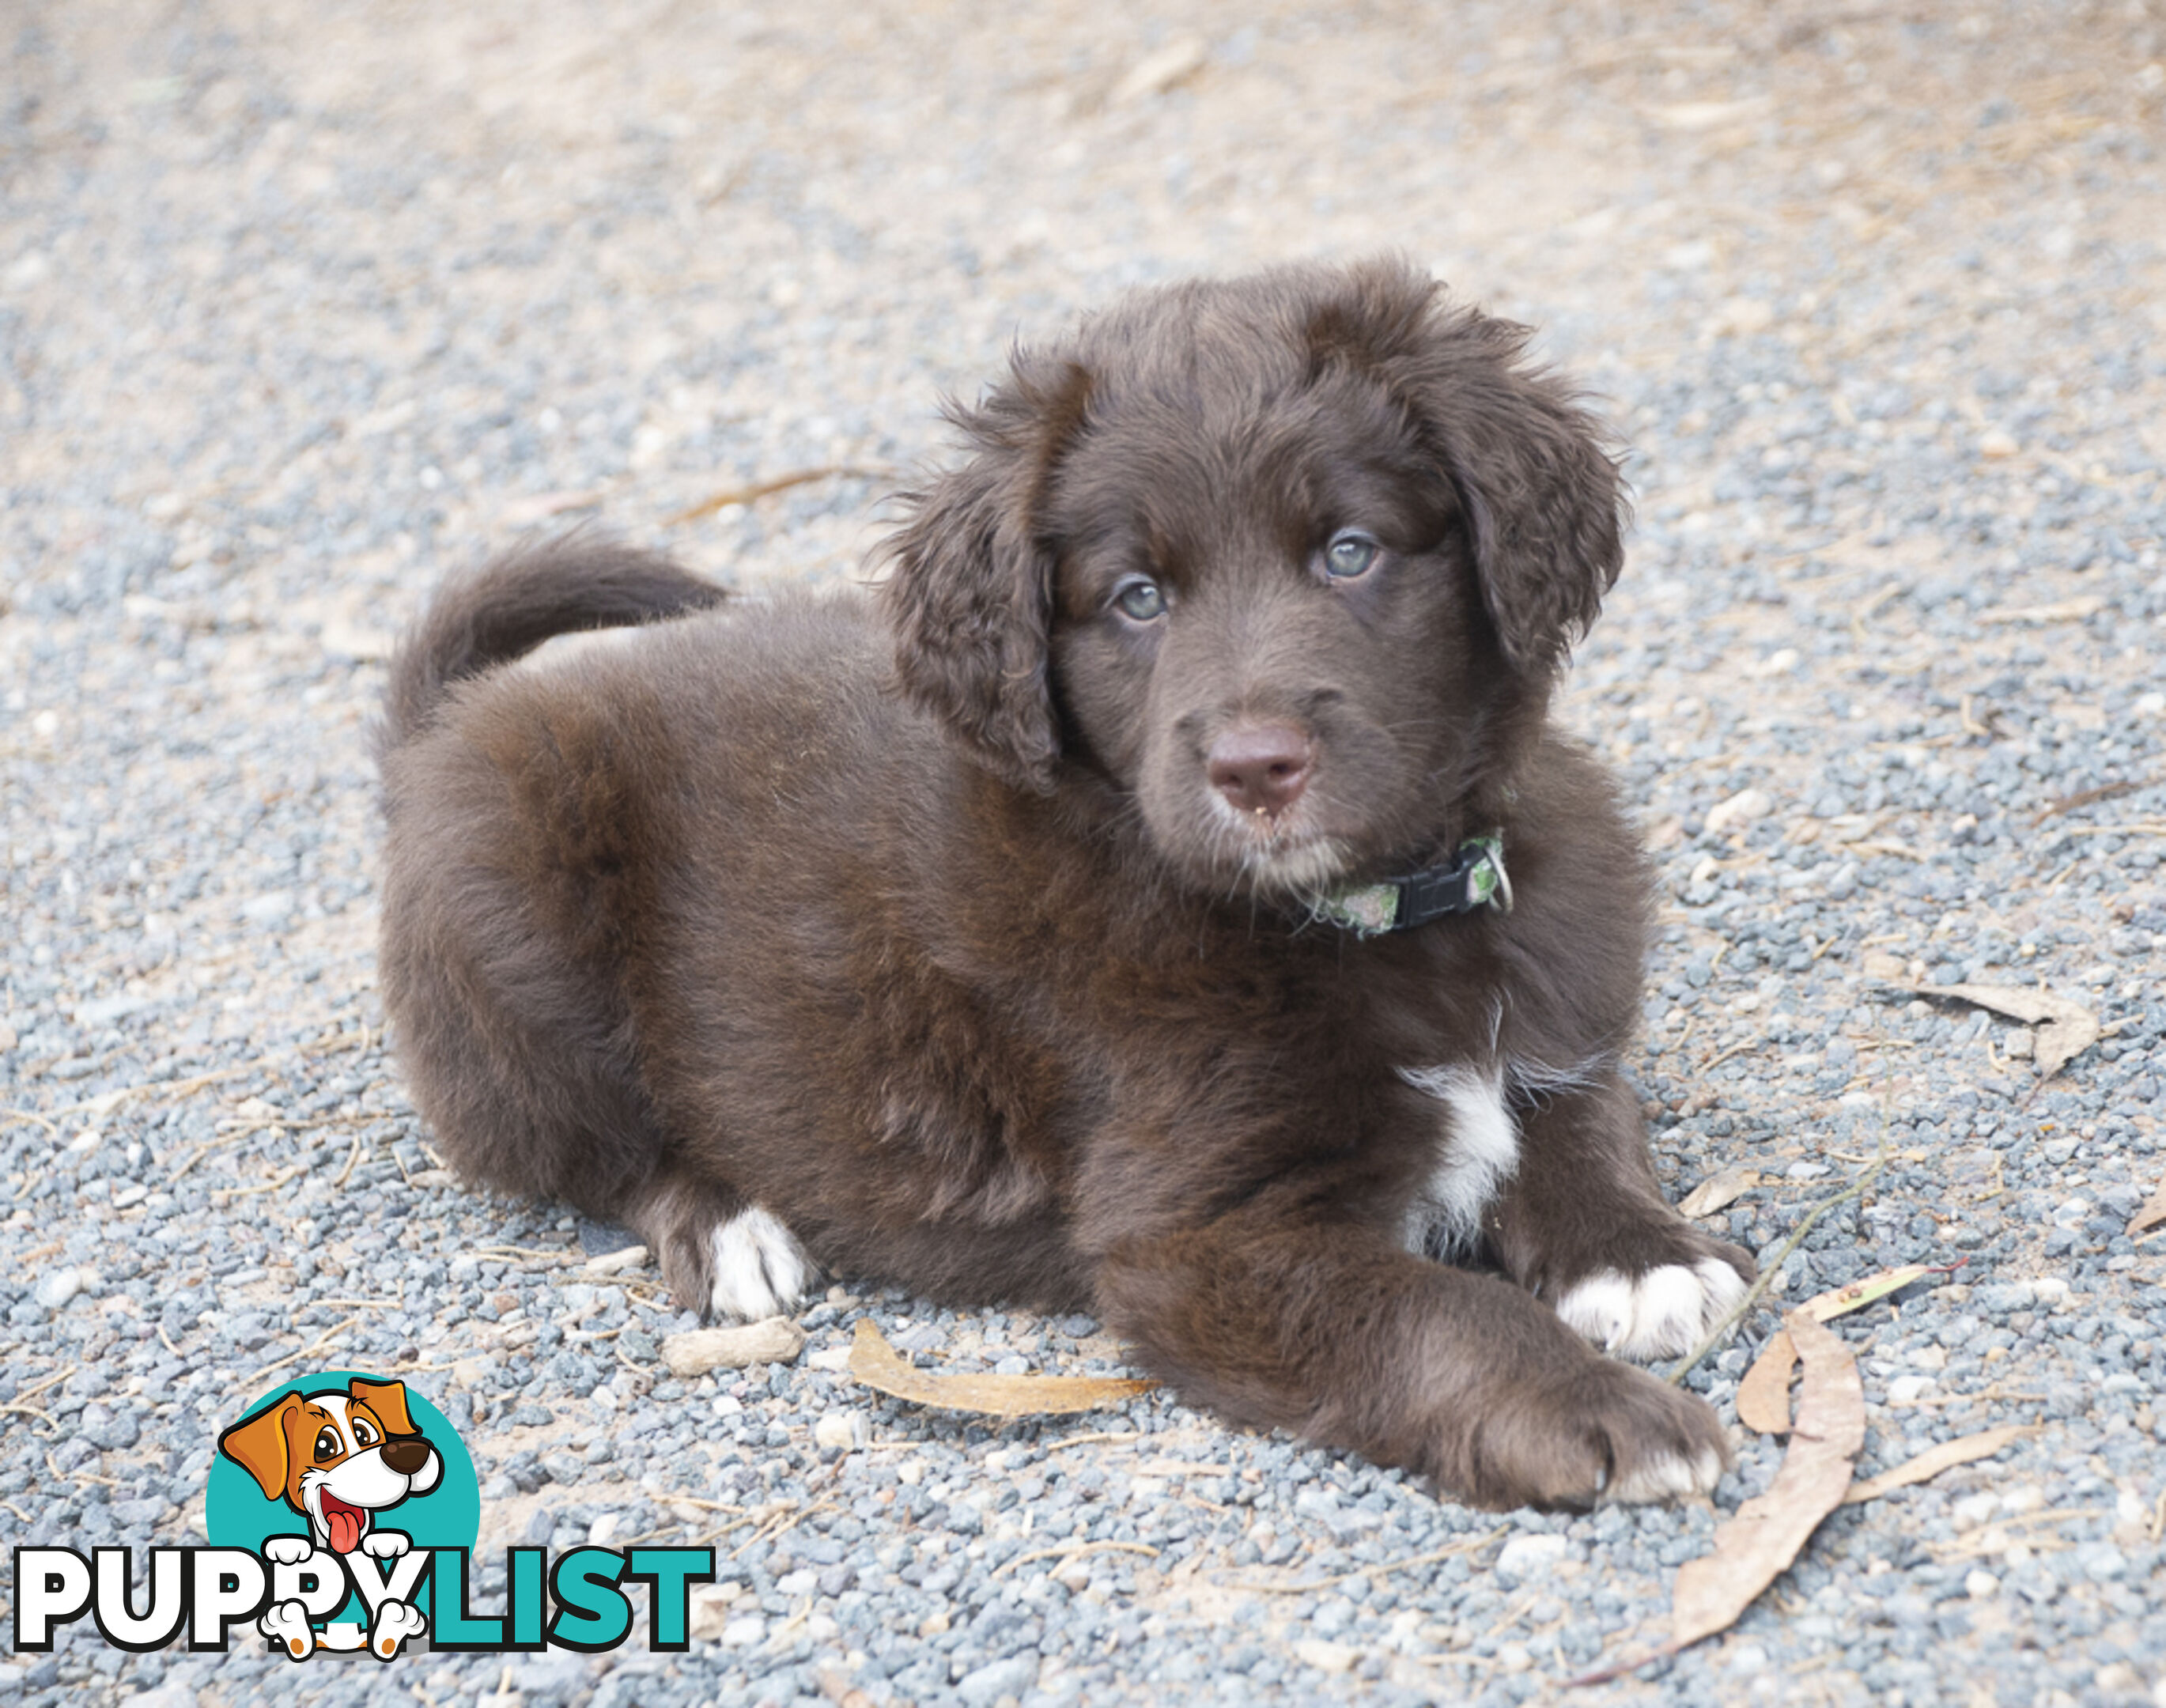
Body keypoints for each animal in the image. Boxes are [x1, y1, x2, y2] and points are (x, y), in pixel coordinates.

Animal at [376, 256, 1759, 1506]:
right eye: (1136, 598)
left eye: (1350, 551)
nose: (1255, 768)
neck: (1364, 922)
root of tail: (444, 733)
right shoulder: (1199, 1236)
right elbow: (1433, 1315)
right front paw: (1597, 1413)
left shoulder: (1551, 1019)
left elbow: (1580, 1120)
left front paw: (1638, 1258)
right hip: (513, 912)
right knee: (595, 1153)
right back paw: (731, 1228)